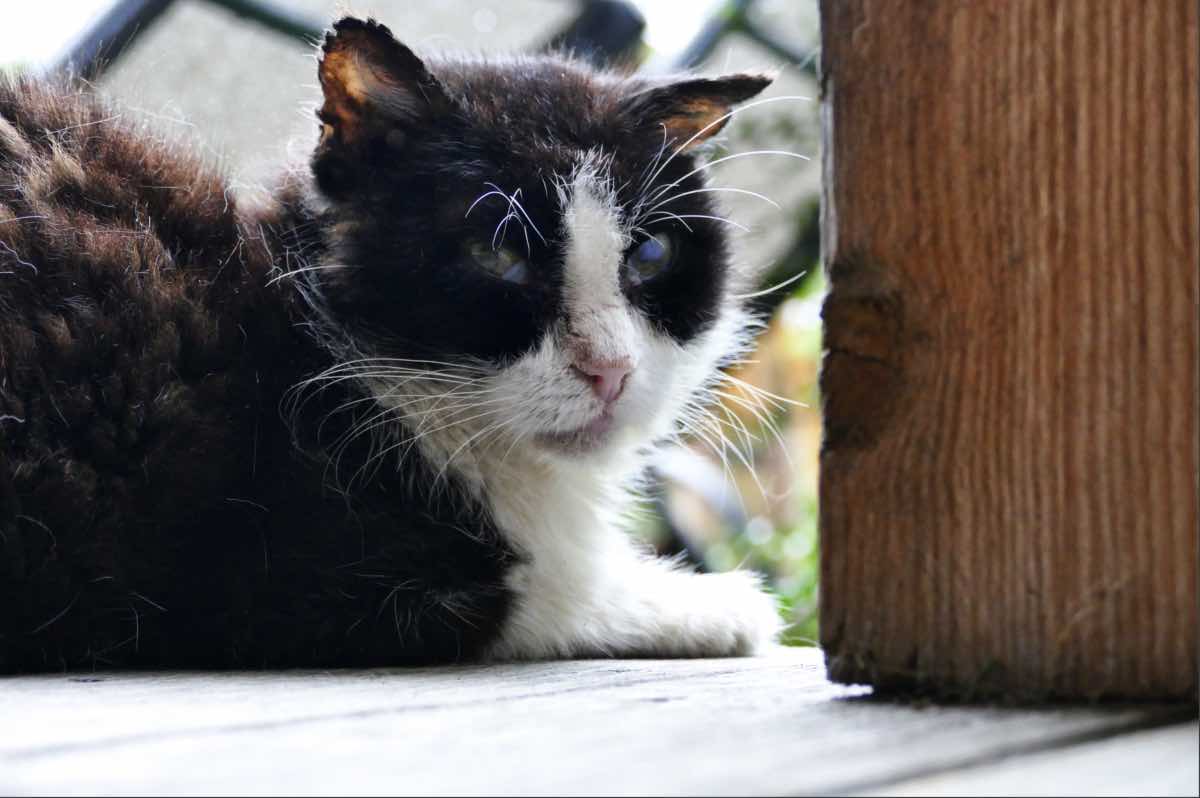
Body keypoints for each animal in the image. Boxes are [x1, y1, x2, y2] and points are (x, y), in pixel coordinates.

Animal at [0, 15, 782, 667]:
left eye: (650, 256)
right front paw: (715, 604)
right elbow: (524, 598)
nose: (610, 369)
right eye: (500, 256)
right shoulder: (259, 572)